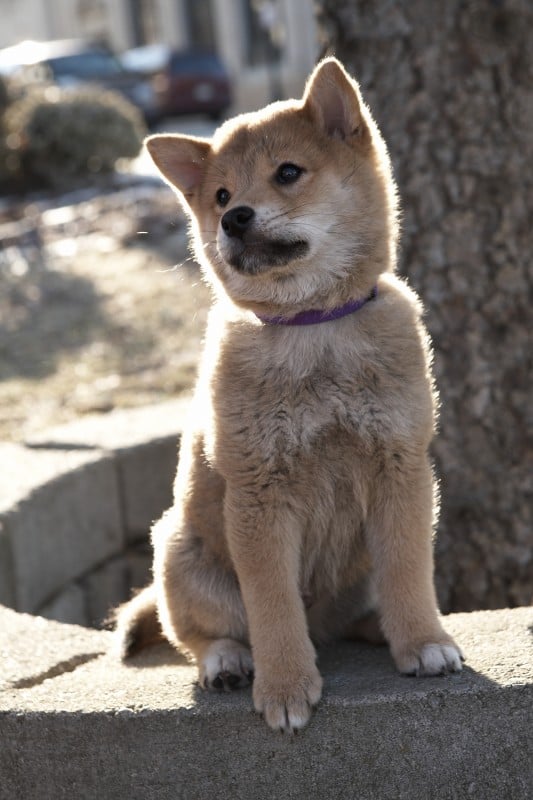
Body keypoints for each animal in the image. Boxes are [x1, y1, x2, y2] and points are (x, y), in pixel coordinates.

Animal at [115, 56, 462, 732]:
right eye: (221, 195)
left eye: (288, 173)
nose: (234, 218)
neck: (313, 328)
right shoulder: (259, 492)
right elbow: (272, 606)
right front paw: (284, 686)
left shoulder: (401, 467)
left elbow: (409, 570)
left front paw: (422, 641)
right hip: (177, 552)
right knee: (200, 633)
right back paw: (228, 662)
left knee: (359, 610)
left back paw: (379, 629)